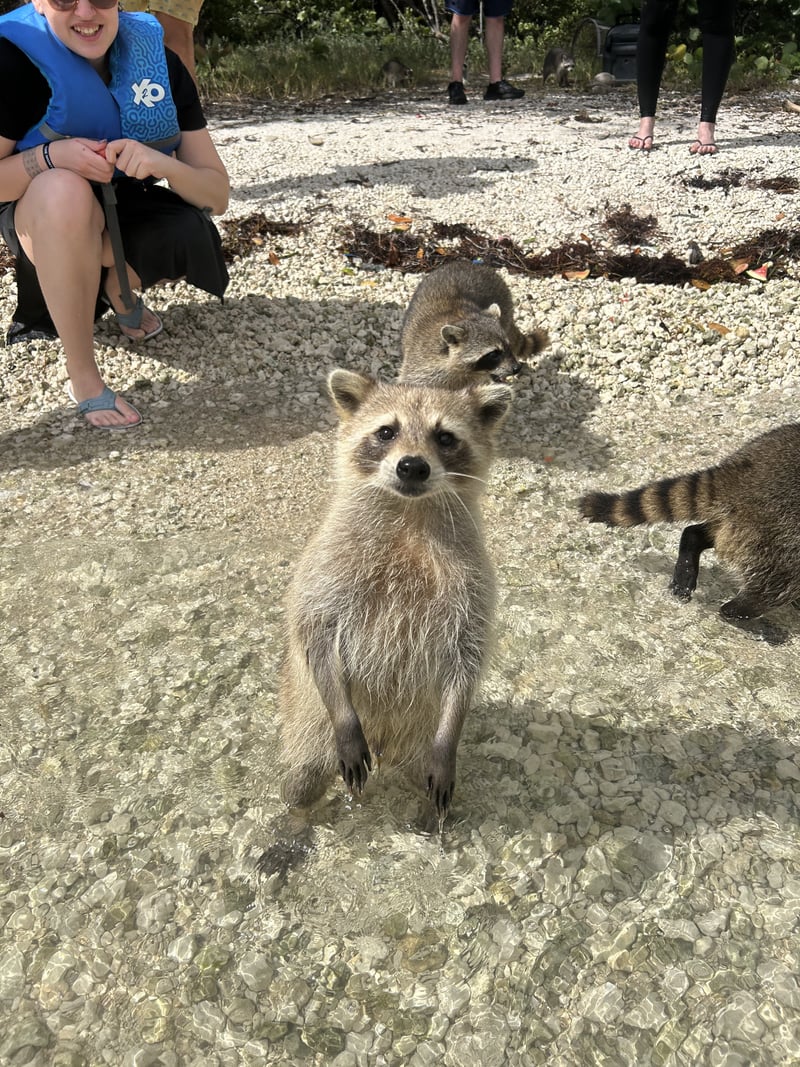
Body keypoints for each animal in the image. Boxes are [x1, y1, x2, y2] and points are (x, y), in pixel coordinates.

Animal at [279, 369, 512, 820]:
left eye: (445, 437)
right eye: (387, 431)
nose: (412, 466)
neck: (410, 513)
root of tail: (385, 745)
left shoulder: (472, 579)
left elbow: (467, 654)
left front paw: (452, 734)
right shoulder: (329, 562)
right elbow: (316, 632)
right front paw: (346, 721)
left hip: (420, 742)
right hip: (311, 731)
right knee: (300, 783)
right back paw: (295, 818)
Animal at [578, 423, 800, 620]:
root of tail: (742, 473)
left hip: (743, 524)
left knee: (699, 533)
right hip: (780, 532)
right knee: (777, 585)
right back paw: (739, 609)